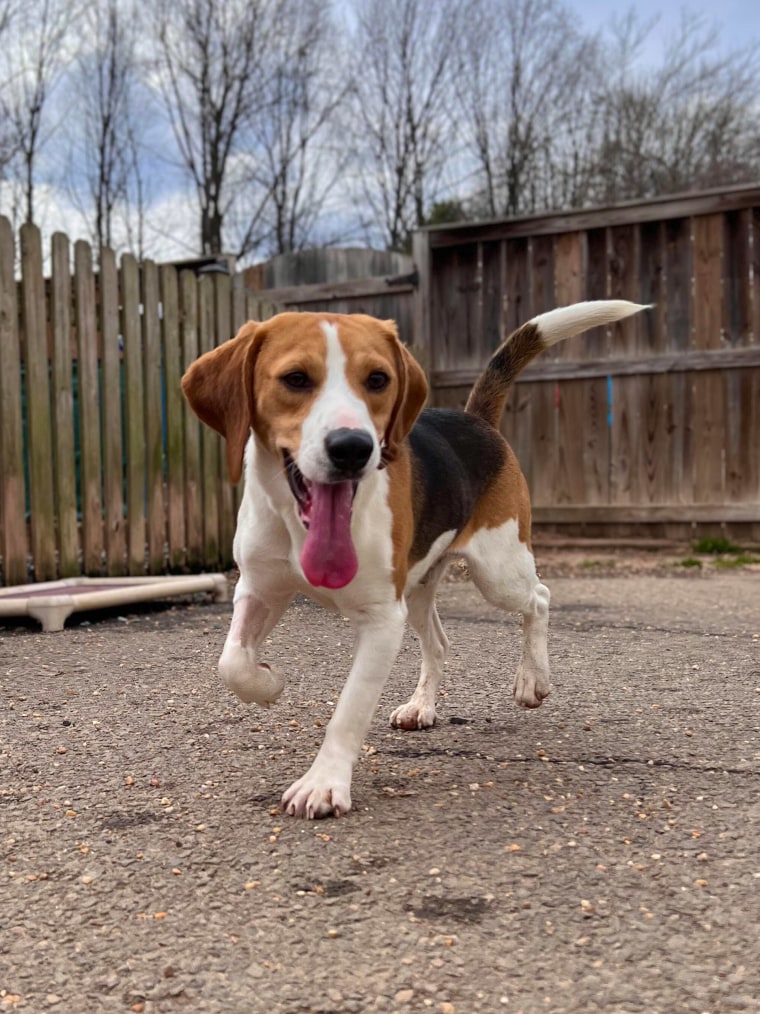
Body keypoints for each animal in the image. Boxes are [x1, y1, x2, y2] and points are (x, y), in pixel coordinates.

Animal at [181, 298, 644, 815]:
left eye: (378, 379)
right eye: (296, 378)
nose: (353, 448)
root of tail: (476, 420)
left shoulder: (383, 620)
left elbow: (349, 709)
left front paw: (323, 783)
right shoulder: (259, 589)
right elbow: (232, 663)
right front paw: (268, 683)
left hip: (497, 571)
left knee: (539, 598)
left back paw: (532, 679)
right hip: (420, 589)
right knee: (439, 642)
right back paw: (423, 706)